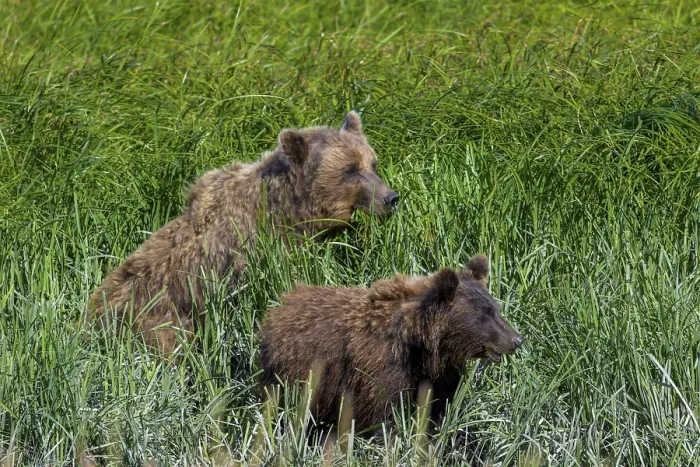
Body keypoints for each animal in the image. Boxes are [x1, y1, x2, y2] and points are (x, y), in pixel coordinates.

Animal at [88, 111, 398, 356]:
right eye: (350, 169)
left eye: (373, 163)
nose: (391, 197)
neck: (291, 210)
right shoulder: (254, 252)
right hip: (156, 320)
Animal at [259, 255, 524, 433]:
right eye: (485, 315)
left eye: (496, 309)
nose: (517, 340)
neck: (420, 347)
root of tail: (279, 308)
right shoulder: (379, 371)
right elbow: (380, 416)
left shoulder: (437, 375)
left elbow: (439, 409)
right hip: (296, 376)